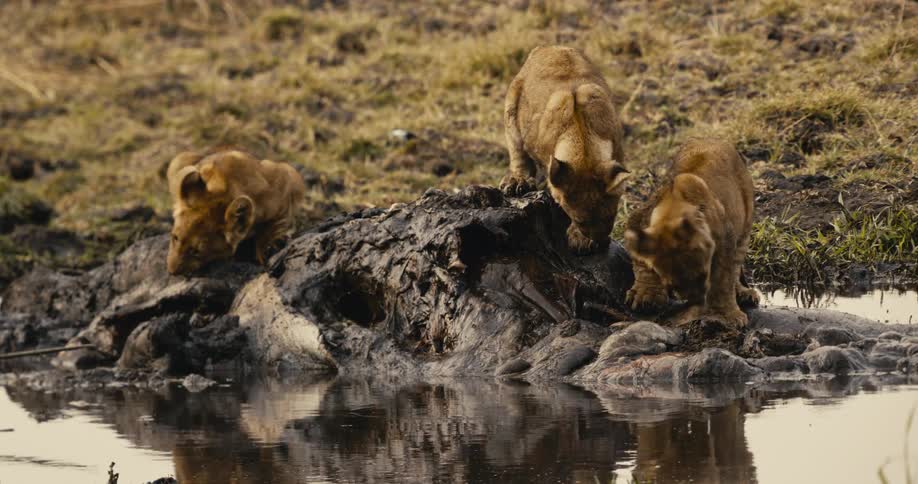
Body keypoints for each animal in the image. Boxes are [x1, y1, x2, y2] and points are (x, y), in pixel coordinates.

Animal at [165, 147, 305, 275]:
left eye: (196, 251)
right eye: (175, 237)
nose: (172, 271)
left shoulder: (284, 180)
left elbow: (269, 230)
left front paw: (265, 252)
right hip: (180, 158)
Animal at [500, 45, 630, 254]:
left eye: (611, 216)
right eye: (580, 221)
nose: (600, 243)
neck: (583, 142)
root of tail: (548, 46)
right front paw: (581, 239)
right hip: (511, 105)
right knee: (517, 155)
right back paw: (517, 181)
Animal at [623, 139, 759, 328]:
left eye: (702, 277)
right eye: (673, 285)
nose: (696, 300)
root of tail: (714, 139)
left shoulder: (725, 239)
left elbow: (723, 280)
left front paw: (725, 315)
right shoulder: (637, 220)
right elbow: (642, 262)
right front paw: (646, 294)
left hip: (745, 226)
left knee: (736, 265)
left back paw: (744, 293)